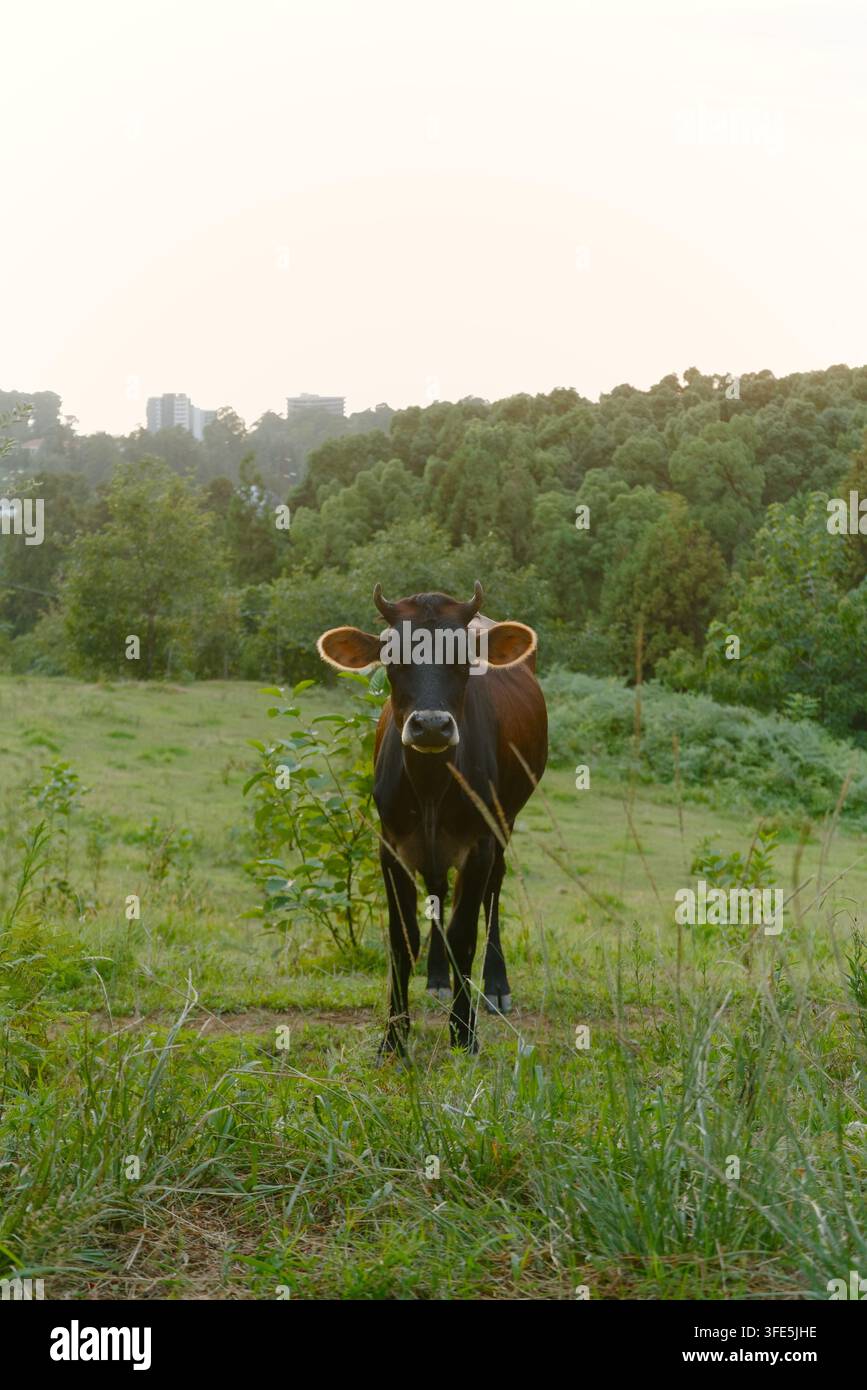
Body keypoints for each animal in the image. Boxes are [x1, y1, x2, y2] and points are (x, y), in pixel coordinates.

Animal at [317, 582, 547, 1055]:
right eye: (392, 657)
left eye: (464, 658)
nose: (432, 726)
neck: (429, 788)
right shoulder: (391, 846)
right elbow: (402, 937)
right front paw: (393, 1036)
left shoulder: (479, 844)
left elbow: (465, 934)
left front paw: (463, 1031)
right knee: (438, 887)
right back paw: (438, 977)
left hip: (506, 820)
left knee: (494, 891)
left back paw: (495, 986)